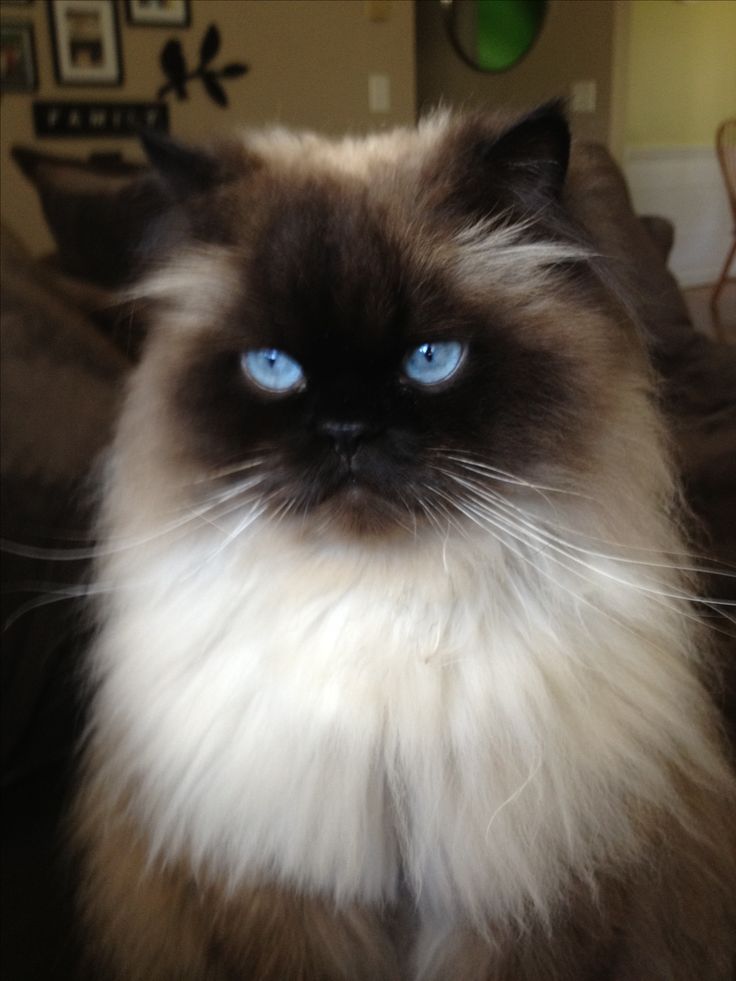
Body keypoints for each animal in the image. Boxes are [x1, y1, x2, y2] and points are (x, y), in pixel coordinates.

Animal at [75, 103, 736, 976]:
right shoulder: (275, 886)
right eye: (273, 366)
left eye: (430, 359)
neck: (385, 610)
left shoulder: (538, 885)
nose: (347, 431)